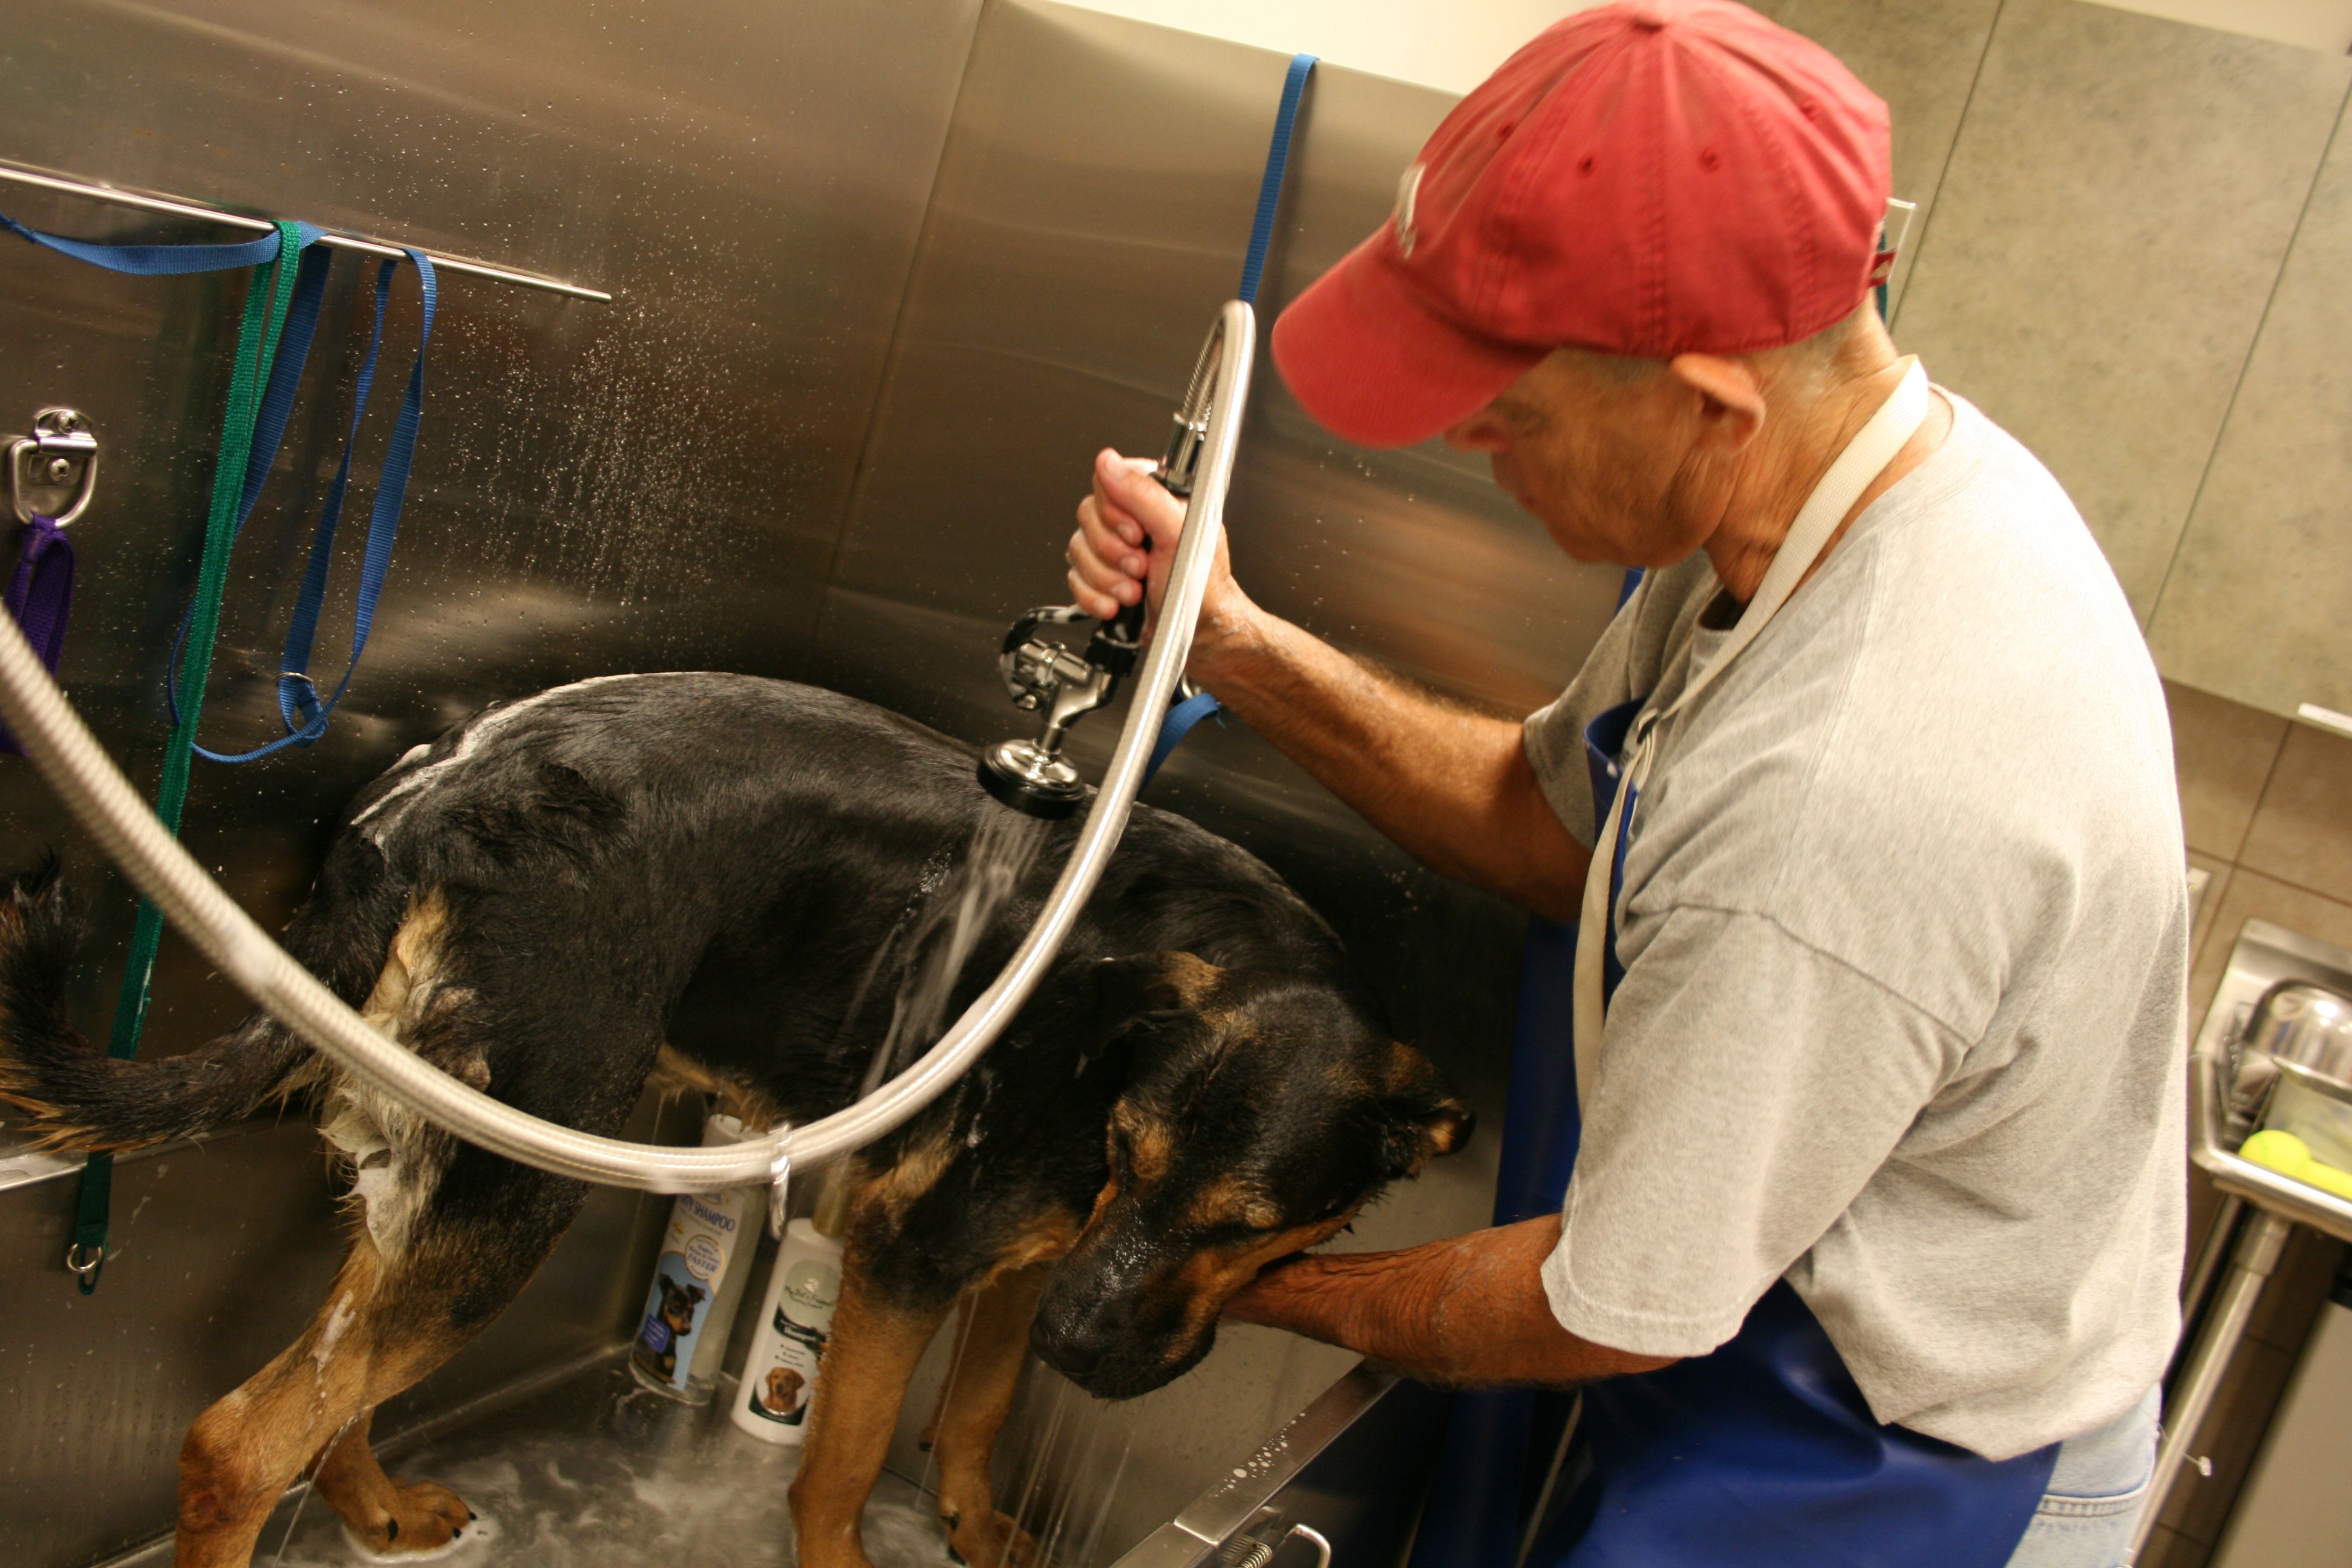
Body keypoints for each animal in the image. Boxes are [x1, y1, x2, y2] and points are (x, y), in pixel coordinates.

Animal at [0, 677, 1468, 1568]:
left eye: (1247, 1222)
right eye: (1132, 1161)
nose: (1080, 1347)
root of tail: (426, 811)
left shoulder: (1036, 1260)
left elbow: (983, 1407)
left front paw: (976, 1520)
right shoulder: (915, 1253)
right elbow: (844, 1462)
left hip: (457, 1157)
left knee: (333, 1382)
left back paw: (374, 1504)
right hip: (524, 1180)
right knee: (235, 1443)